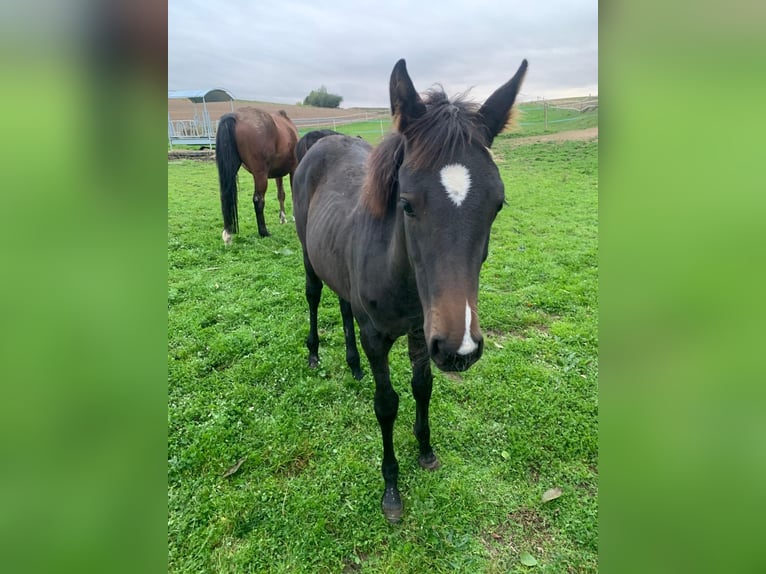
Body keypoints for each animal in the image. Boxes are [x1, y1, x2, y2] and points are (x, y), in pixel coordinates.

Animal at [218, 108, 302, 243]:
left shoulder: (278, 173)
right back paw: (264, 232)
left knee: (226, 195)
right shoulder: (293, 169)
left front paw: (283, 218)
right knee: (258, 199)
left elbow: (281, 194)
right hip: (260, 174)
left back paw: (228, 233)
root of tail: (234, 116)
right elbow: (294, 194)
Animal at [292, 59, 528, 528]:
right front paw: (391, 490)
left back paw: (353, 365)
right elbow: (387, 404)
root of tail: (321, 142)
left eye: (497, 204)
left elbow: (423, 387)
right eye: (406, 203)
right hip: (308, 255)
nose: (460, 349)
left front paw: (426, 451)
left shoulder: (423, 330)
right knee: (314, 295)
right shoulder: (378, 336)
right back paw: (314, 354)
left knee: (343, 305)